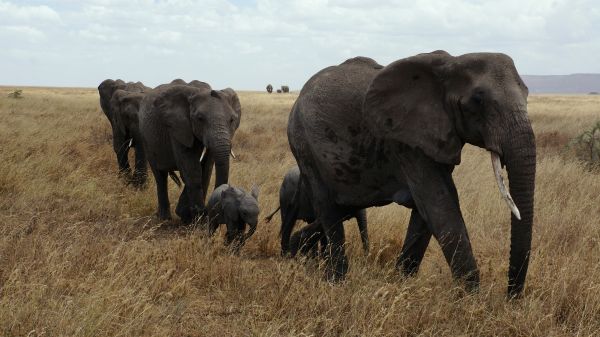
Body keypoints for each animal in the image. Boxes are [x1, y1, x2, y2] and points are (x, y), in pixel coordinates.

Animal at [139, 81, 243, 223]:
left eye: (232, 120)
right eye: (200, 118)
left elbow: (206, 168)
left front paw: (189, 216)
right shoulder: (177, 128)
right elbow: (191, 169)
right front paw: (196, 219)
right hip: (146, 139)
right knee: (160, 176)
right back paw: (164, 218)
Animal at [288, 50, 536, 296]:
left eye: (527, 94)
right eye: (478, 100)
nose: (511, 298)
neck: (452, 63)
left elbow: (428, 210)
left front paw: (402, 282)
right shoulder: (406, 142)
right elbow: (439, 205)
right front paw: (471, 298)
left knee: (342, 208)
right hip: (304, 146)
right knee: (328, 207)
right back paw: (336, 281)